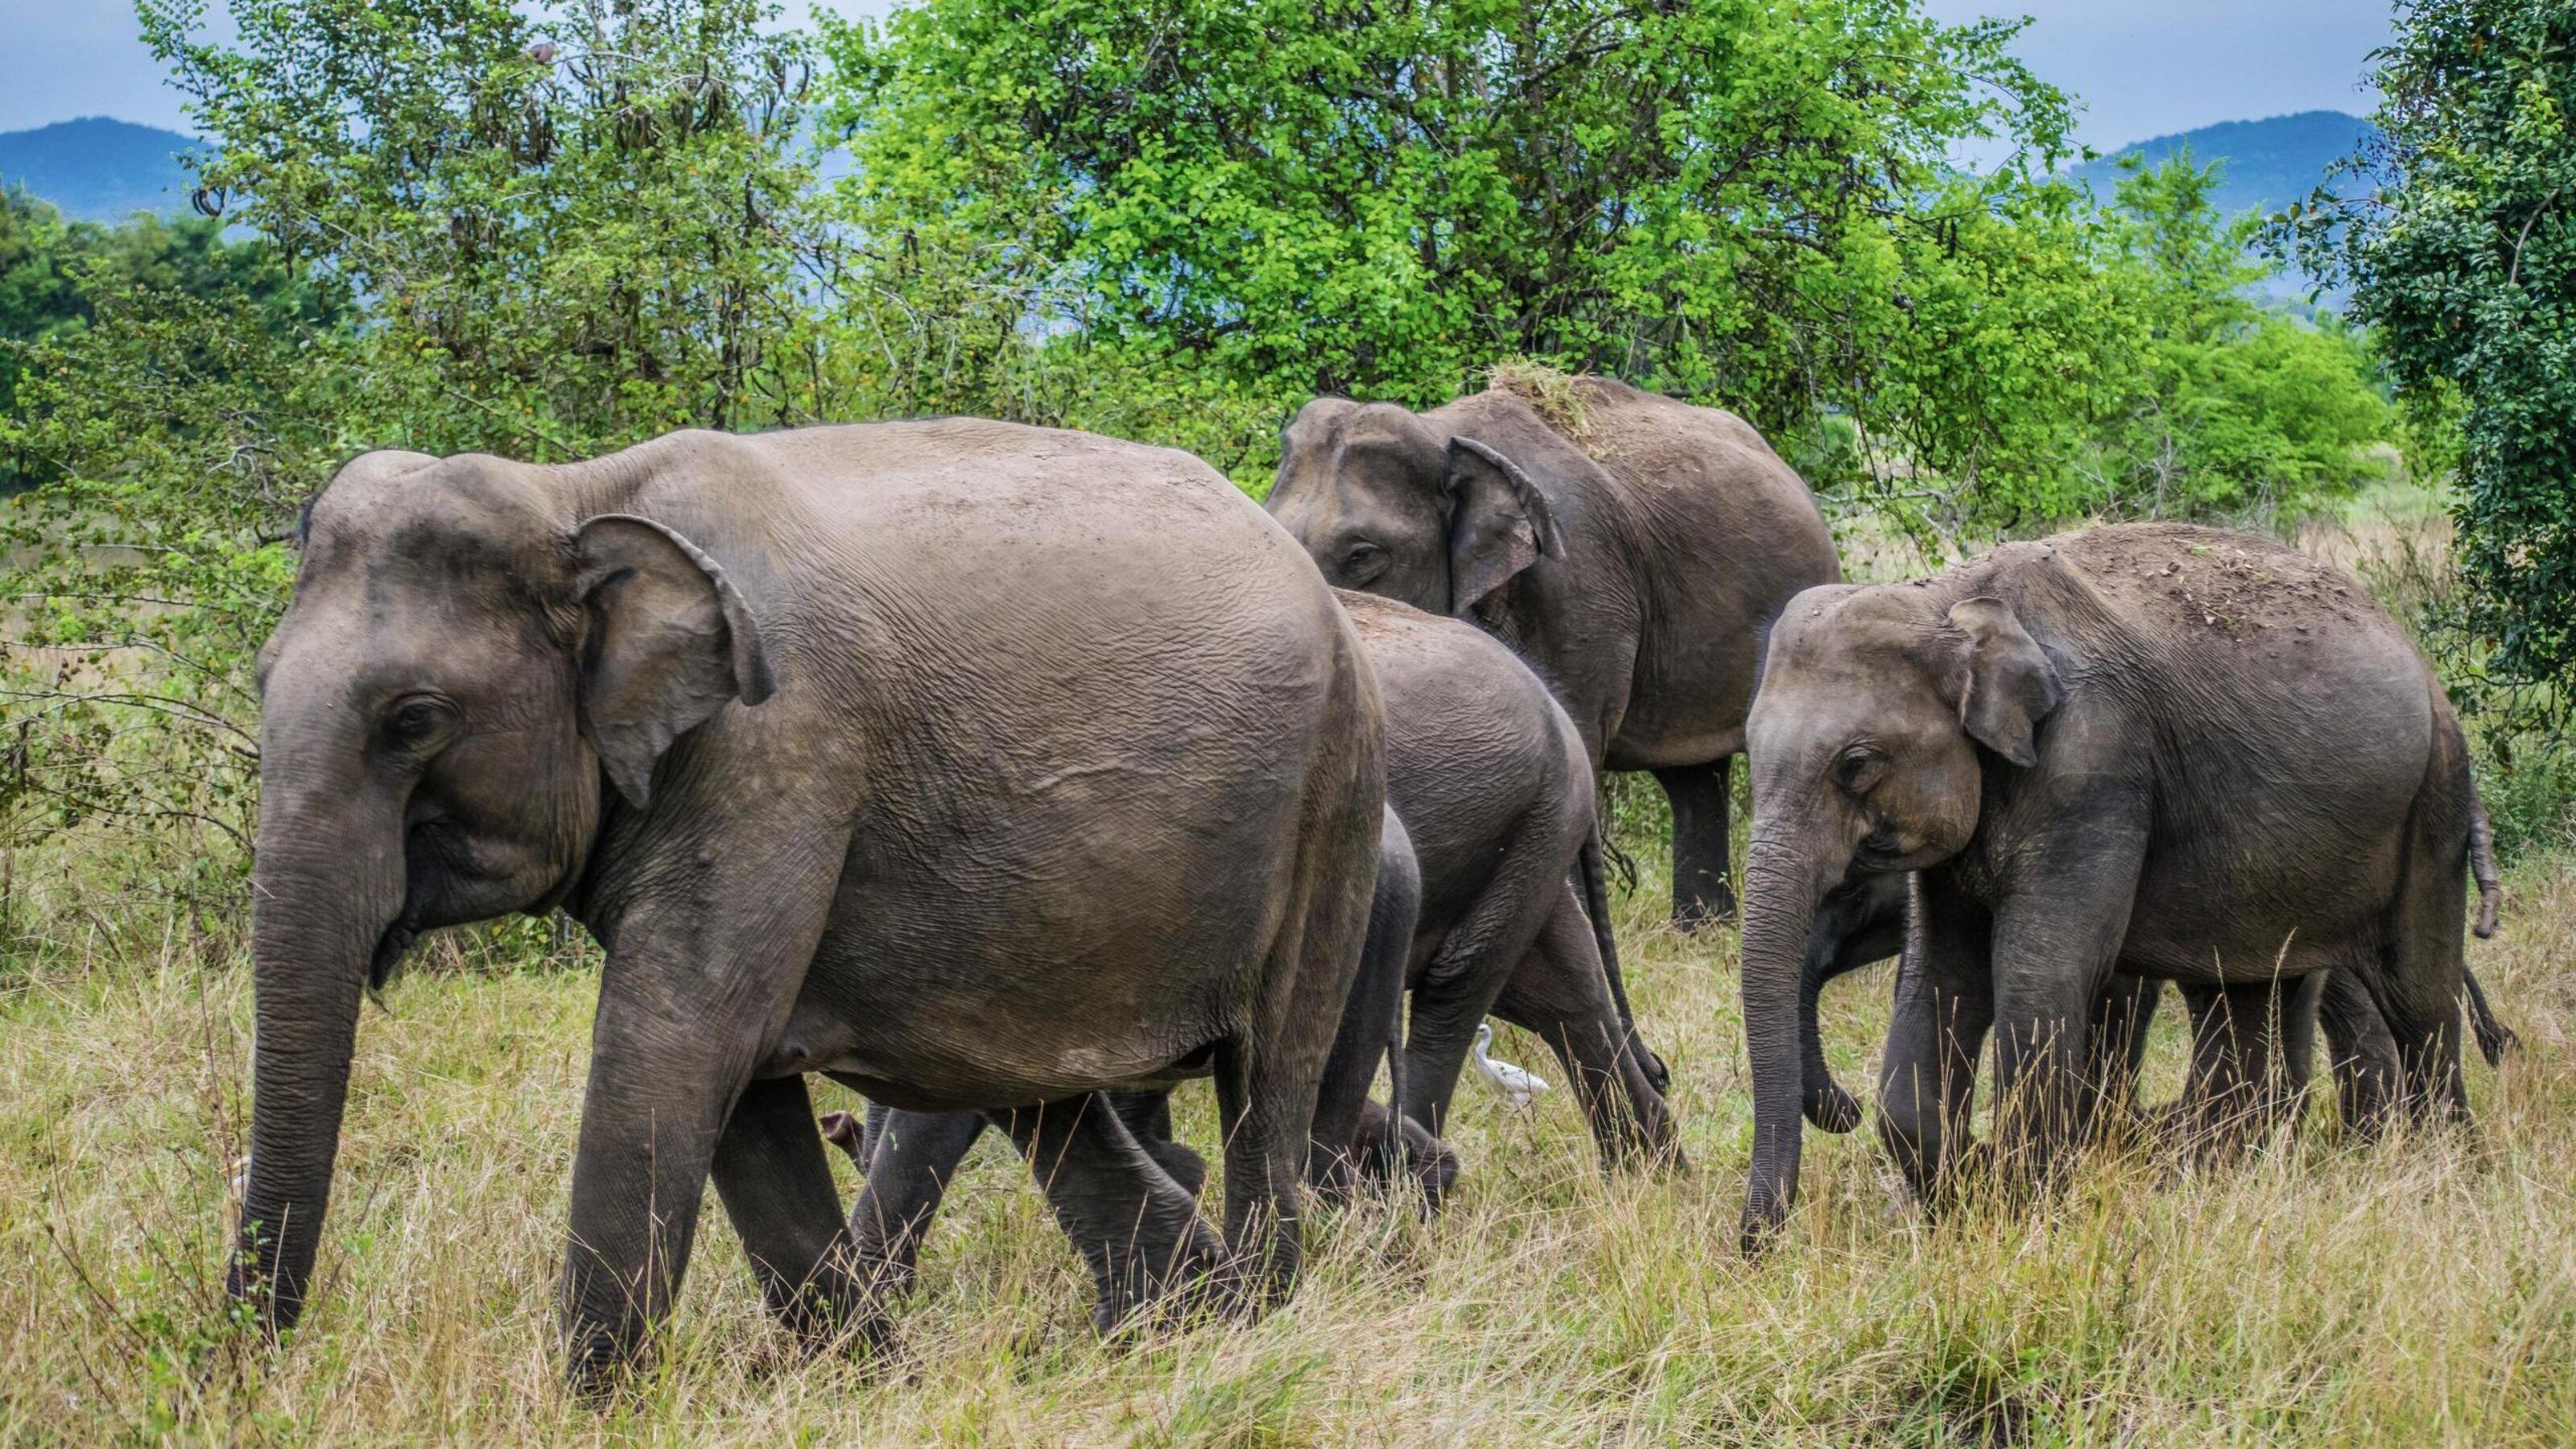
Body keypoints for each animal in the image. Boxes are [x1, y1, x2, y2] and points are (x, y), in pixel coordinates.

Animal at [234, 420, 1387, 1391]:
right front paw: (872, 1387)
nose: (256, 1375)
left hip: (1331, 808)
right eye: (259, 677)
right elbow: (738, 1099)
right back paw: (1184, 1327)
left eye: (415, 719)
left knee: (1266, 1085)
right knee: (1044, 1100)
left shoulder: (777, 751)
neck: (578, 493)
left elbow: (680, 1042)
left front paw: (593, 1410)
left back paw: (1258, 1328)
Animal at [839, 589, 1685, 1305]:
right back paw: (1650, 1179)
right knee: (1559, 992)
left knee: (1457, 992)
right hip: (1533, 830)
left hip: (1519, 825)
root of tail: (1554, 707)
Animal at [1265, 371, 1840, 929]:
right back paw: (1701, 929)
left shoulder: (1579, 587)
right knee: (1695, 779)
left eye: (1363, 555)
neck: (1443, 435)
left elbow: (1577, 742)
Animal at [1733, 522, 2493, 1249]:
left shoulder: (2095, 764)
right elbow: (1946, 975)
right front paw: (1973, 1197)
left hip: (2434, 800)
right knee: (2246, 995)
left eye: (1856, 764)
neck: (1948, 599)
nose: (1754, 1249)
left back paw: (2441, 1176)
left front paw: (2022, 1217)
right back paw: (2219, 1178)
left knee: (2419, 1000)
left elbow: (2039, 975)